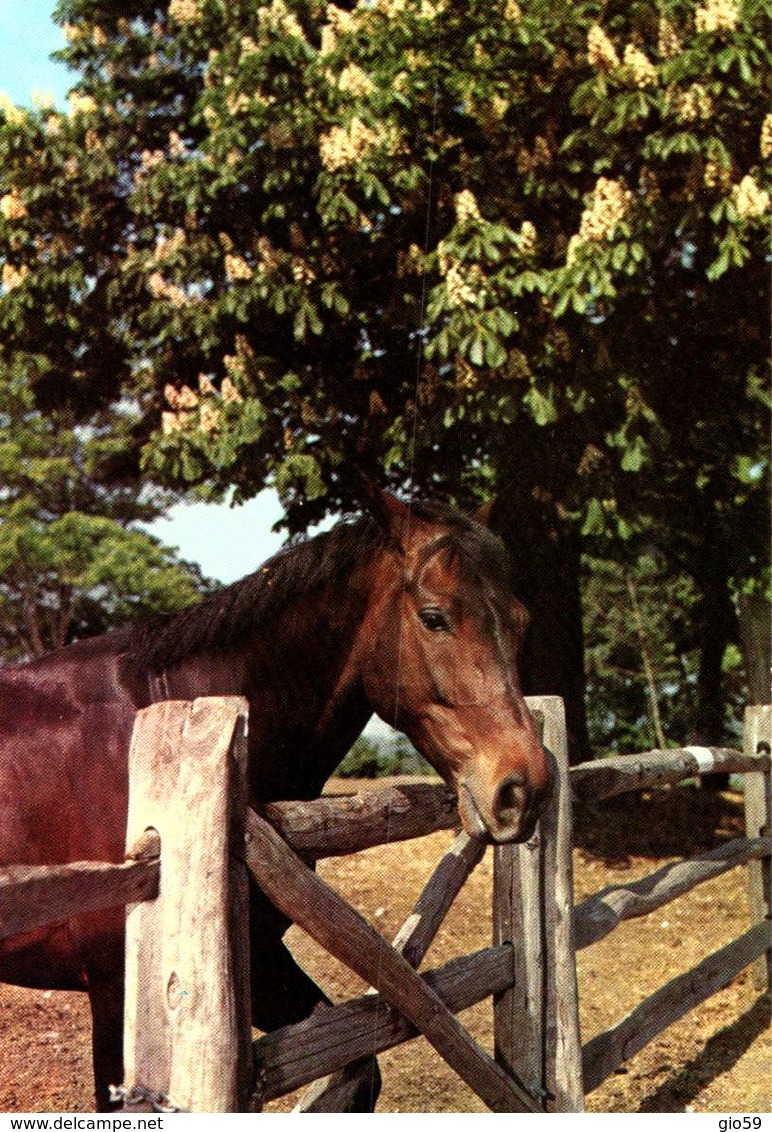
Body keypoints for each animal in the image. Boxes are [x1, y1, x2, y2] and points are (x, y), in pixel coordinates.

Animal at [0, 491, 547, 1109]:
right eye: (435, 617)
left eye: (521, 622)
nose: (525, 787)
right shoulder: (115, 993)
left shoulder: (260, 961)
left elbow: (357, 1068)